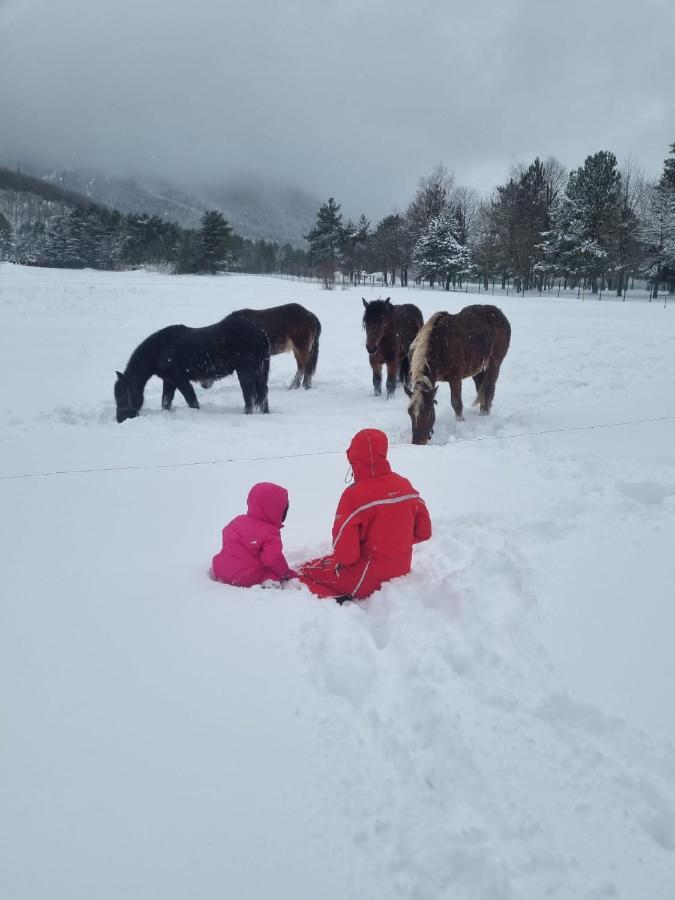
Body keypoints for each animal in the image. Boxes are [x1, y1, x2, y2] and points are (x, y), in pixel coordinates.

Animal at [113, 312, 270, 424]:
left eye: (124, 394)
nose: (121, 419)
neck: (159, 349)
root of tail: (260, 332)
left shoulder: (180, 379)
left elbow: (191, 400)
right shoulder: (169, 381)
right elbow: (166, 402)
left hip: (245, 372)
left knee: (248, 396)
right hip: (259, 373)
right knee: (263, 396)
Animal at [406, 306, 512, 446]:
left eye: (428, 412)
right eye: (410, 413)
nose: (418, 442)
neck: (439, 343)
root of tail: (498, 312)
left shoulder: (455, 378)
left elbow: (456, 403)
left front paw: (460, 424)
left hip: (495, 362)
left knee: (489, 389)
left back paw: (484, 415)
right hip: (477, 368)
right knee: (481, 387)